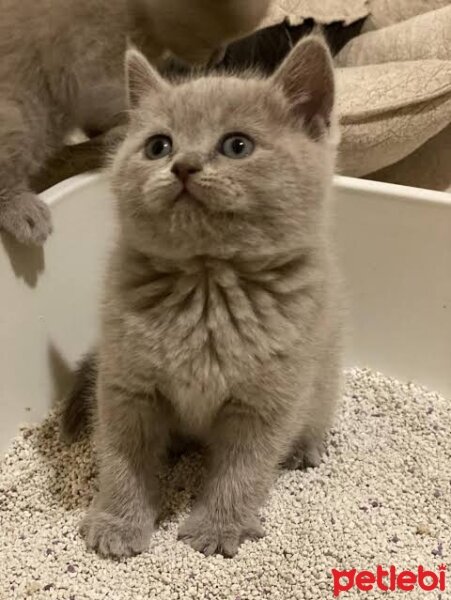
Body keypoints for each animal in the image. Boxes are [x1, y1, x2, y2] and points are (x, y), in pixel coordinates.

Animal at [0, 0, 270, 246]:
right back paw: (24, 211)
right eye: (209, 39)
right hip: (21, 114)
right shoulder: (93, 60)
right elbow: (111, 96)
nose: (219, 56)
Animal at [61, 37, 344, 560]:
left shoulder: (266, 402)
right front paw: (118, 522)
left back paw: (303, 449)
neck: (207, 284)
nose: (183, 166)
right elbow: (122, 458)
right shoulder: (126, 387)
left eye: (237, 145)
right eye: (158, 145)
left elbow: (243, 470)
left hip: (323, 379)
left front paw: (217, 527)